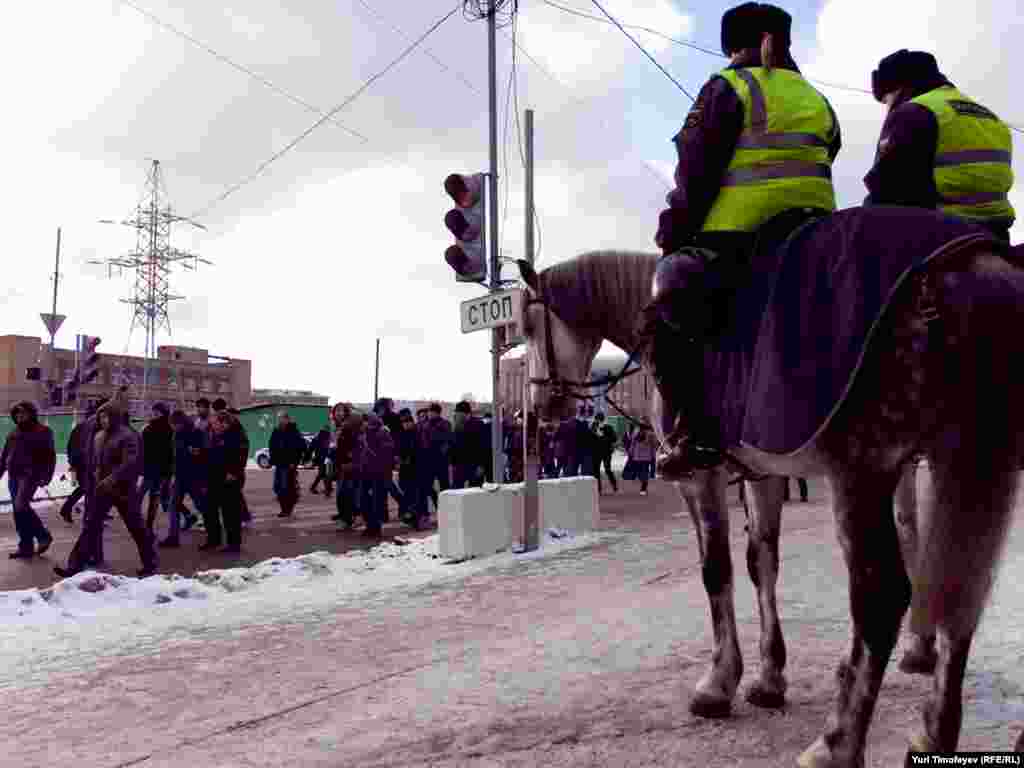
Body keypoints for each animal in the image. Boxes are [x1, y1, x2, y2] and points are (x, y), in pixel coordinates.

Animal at [516, 215, 1024, 765]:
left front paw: (719, 683)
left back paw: (836, 743)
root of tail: (973, 263)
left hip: (864, 469)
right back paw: (935, 732)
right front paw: (768, 677)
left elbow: (716, 571)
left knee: (883, 598)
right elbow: (762, 563)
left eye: (527, 329)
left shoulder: (701, 478)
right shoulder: (763, 475)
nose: (539, 411)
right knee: (961, 588)